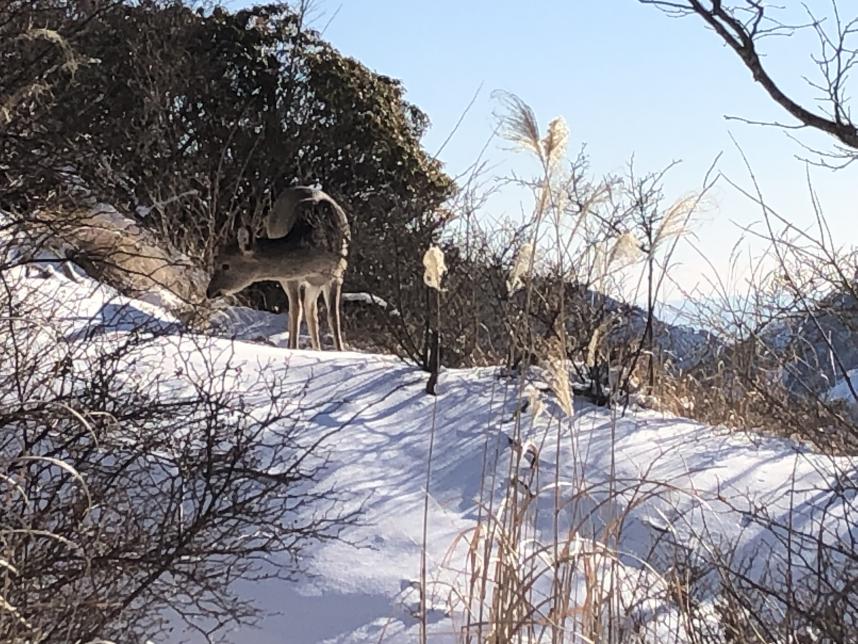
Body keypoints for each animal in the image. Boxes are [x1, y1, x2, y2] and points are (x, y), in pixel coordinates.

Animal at [206, 185, 350, 352]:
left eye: (225, 265)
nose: (209, 291)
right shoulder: (293, 277)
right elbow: (296, 311)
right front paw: (293, 348)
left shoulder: (337, 273)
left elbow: (334, 316)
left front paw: (341, 351)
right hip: (294, 281)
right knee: (303, 308)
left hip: (315, 282)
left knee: (310, 308)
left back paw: (317, 349)